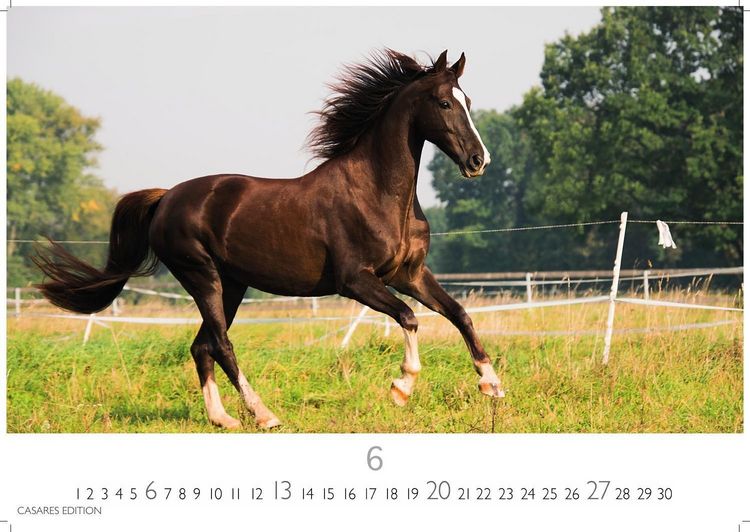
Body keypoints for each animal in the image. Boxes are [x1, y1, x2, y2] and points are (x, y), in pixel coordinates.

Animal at [33, 49, 504, 430]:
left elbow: (459, 313)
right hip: (202, 276)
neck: (377, 193)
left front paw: (492, 384)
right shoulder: (356, 281)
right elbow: (409, 318)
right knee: (221, 344)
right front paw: (401, 387)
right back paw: (264, 414)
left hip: (232, 284)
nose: (478, 161)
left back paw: (222, 419)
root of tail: (166, 197)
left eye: (468, 101)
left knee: (201, 346)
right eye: (444, 102)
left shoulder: (410, 274)